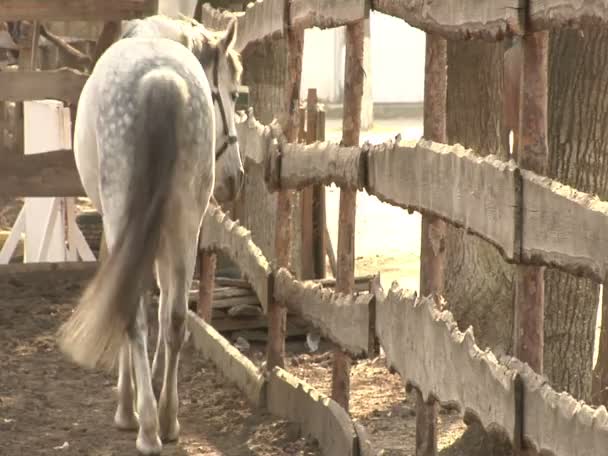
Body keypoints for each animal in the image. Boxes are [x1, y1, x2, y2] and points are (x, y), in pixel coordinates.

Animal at [56, 15, 245, 456]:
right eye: (229, 93)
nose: (236, 177)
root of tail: (161, 78)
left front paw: (128, 403)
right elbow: (165, 309)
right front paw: (156, 388)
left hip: (128, 220)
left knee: (133, 312)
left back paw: (143, 424)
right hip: (185, 225)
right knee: (175, 318)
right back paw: (169, 419)